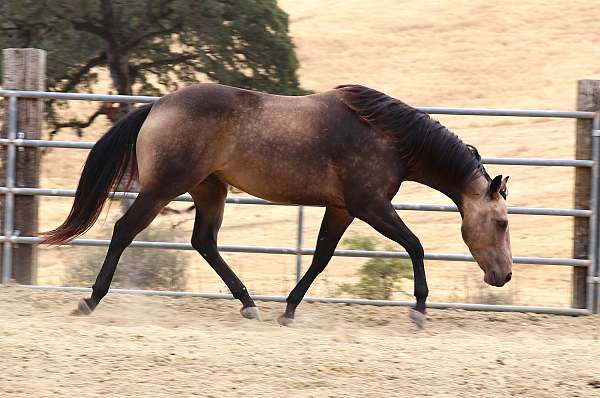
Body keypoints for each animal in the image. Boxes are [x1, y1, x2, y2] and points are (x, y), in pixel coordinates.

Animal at [42, 83, 510, 326]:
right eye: (503, 224)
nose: (503, 276)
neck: (388, 137)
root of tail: (157, 106)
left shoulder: (342, 209)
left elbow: (320, 257)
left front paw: (288, 308)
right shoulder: (371, 205)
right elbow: (415, 245)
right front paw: (419, 309)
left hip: (210, 190)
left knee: (204, 243)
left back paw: (249, 304)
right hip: (164, 188)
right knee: (125, 231)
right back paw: (90, 300)